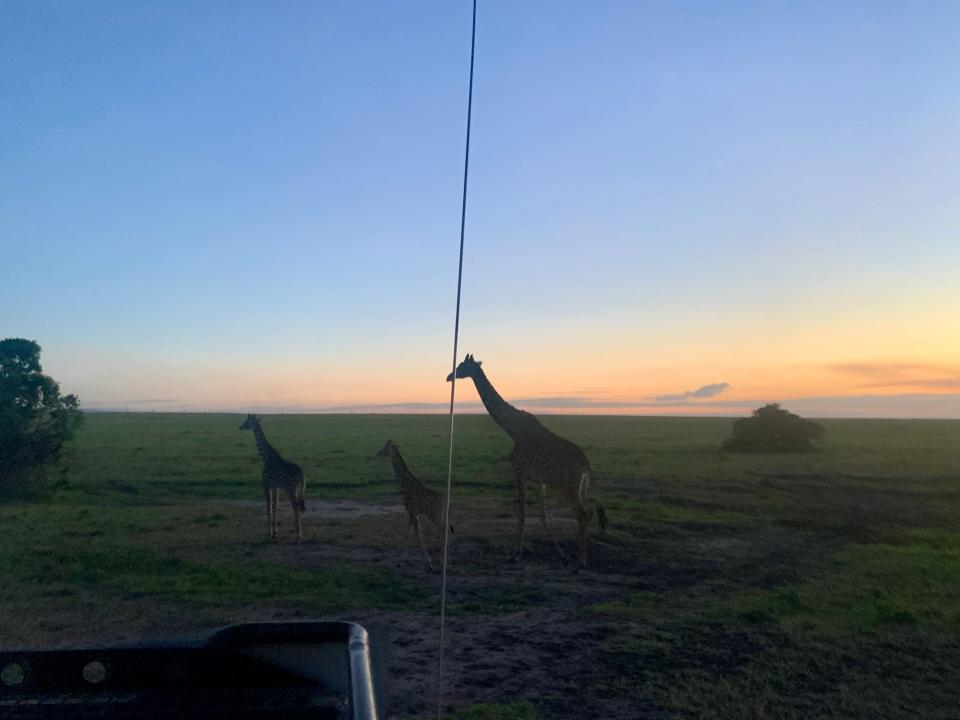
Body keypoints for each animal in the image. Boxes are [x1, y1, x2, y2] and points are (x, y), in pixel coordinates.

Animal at [376, 438, 456, 568]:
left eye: (385, 448)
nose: (378, 453)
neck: (405, 484)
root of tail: (446, 502)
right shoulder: (412, 512)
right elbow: (409, 533)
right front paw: (404, 558)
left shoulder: (412, 511)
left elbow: (417, 535)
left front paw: (429, 561)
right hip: (440, 516)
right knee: (446, 530)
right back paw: (445, 557)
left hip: (434, 516)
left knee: (444, 531)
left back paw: (442, 560)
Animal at [446, 354, 604, 564]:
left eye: (462, 366)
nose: (449, 377)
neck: (513, 429)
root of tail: (586, 466)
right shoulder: (538, 480)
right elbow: (544, 517)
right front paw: (559, 551)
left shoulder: (519, 471)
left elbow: (522, 514)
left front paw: (517, 552)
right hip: (579, 488)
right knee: (589, 510)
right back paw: (578, 547)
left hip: (567, 486)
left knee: (582, 513)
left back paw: (582, 559)